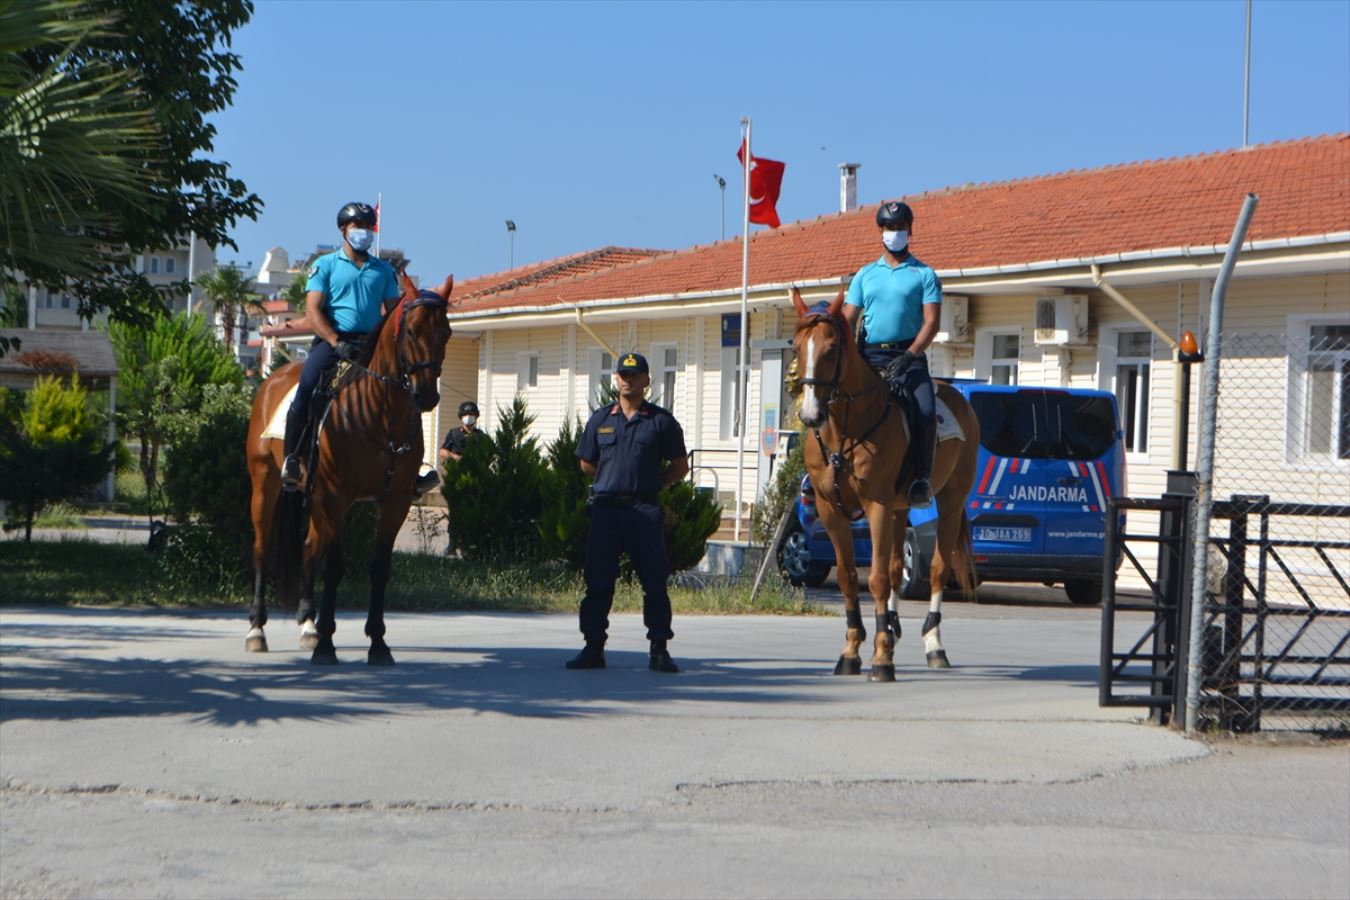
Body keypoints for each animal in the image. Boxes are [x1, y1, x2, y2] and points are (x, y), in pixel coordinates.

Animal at [243, 272, 453, 661]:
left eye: (446, 332)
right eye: (411, 331)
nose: (426, 396)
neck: (382, 413)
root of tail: (273, 379)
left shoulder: (395, 501)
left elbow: (379, 568)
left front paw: (378, 643)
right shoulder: (335, 496)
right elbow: (335, 567)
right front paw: (327, 644)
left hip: (315, 498)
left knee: (308, 548)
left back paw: (307, 624)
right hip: (266, 483)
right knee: (262, 550)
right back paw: (256, 630)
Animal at [788, 288, 982, 682]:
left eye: (831, 348)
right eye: (797, 347)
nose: (810, 415)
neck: (845, 428)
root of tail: (955, 393)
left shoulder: (875, 503)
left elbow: (875, 578)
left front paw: (880, 659)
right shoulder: (831, 511)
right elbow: (850, 578)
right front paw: (852, 651)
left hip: (949, 502)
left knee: (936, 569)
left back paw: (933, 644)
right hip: (899, 508)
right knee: (895, 571)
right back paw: (891, 626)